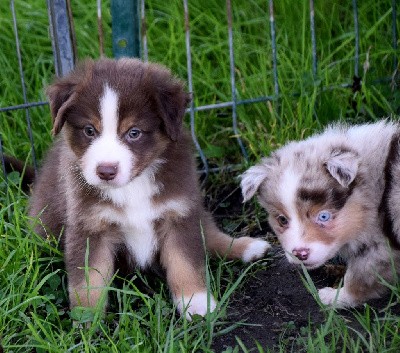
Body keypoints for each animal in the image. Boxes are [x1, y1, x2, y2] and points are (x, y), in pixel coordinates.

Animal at [30, 58, 268, 320]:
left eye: (134, 133)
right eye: (89, 130)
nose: (106, 171)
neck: (133, 186)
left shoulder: (179, 212)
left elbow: (185, 262)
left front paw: (196, 304)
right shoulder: (89, 226)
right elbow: (88, 279)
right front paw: (87, 319)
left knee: (210, 235)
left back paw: (248, 247)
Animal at [241, 120, 400, 306]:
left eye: (324, 216)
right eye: (282, 220)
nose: (300, 254)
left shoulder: (379, 249)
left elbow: (358, 278)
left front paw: (334, 297)